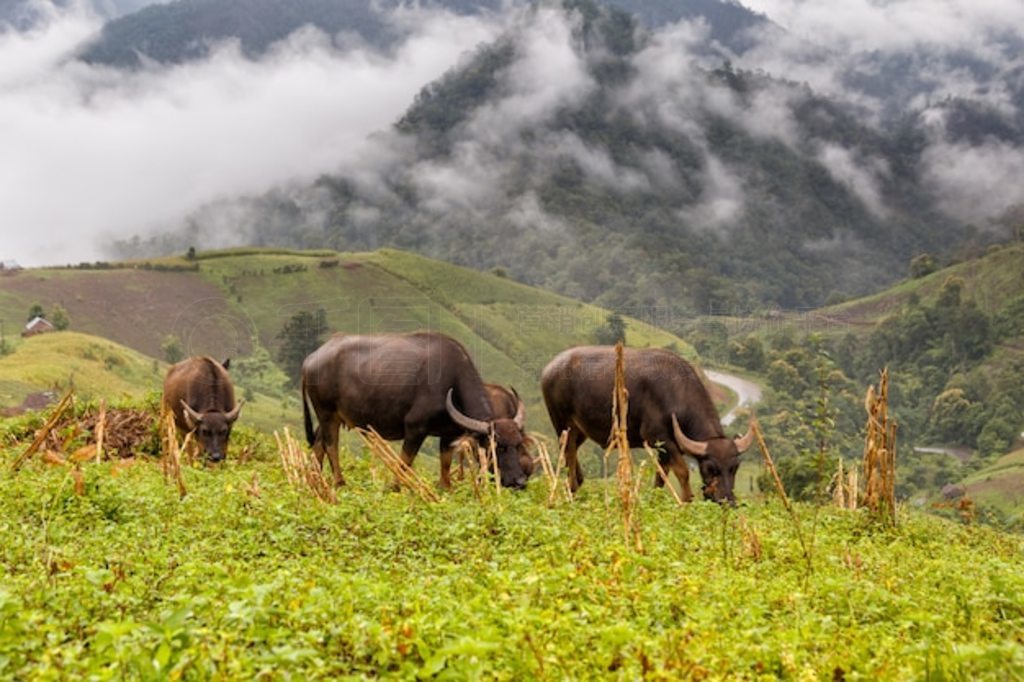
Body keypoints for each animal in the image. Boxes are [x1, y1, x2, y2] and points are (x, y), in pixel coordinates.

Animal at [299, 329, 528, 485]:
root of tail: (311, 359)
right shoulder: (414, 429)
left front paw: (445, 488)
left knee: (318, 444)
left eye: (518, 444)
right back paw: (339, 482)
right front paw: (395, 487)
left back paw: (316, 479)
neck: (451, 382)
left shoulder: (448, 436)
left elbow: (445, 466)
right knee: (331, 445)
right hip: (326, 413)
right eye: (498, 446)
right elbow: (405, 462)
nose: (519, 481)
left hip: (331, 416)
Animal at [536, 346, 753, 499]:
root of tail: (549, 369)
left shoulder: (666, 448)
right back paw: (572, 488)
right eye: (710, 468)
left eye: (735, 467)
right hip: (563, 424)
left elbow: (661, 478)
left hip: (580, 430)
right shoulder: (658, 438)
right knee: (568, 454)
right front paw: (685, 501)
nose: (728, 501)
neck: (676, 393)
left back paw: (579, 482)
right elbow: (683, 472)